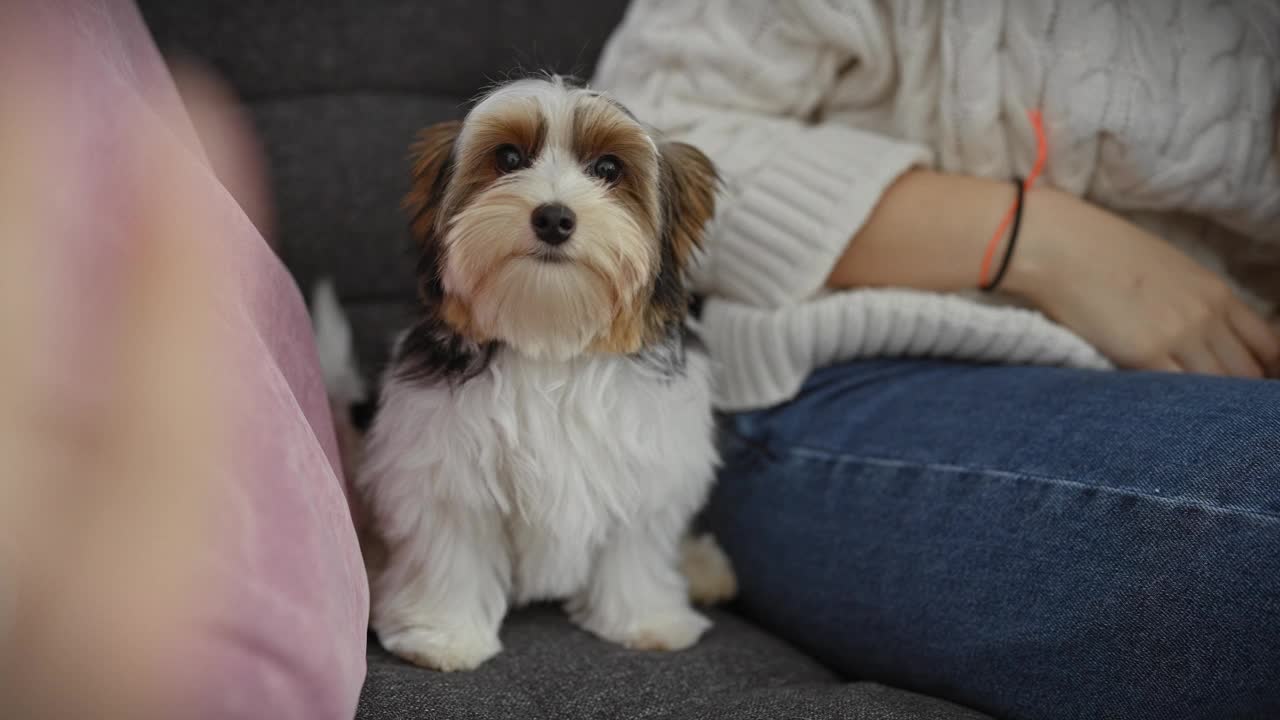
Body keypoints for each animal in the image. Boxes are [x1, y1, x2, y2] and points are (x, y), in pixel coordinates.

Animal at [313, 75, 737, 671]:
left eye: (608, 168)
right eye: (509, 158)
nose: (554, 218)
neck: (549, 338)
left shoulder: (646, 466)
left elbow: (635, 548)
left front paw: (645, 619)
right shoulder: (446, 465)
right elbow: (451, 546)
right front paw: (443, 634)